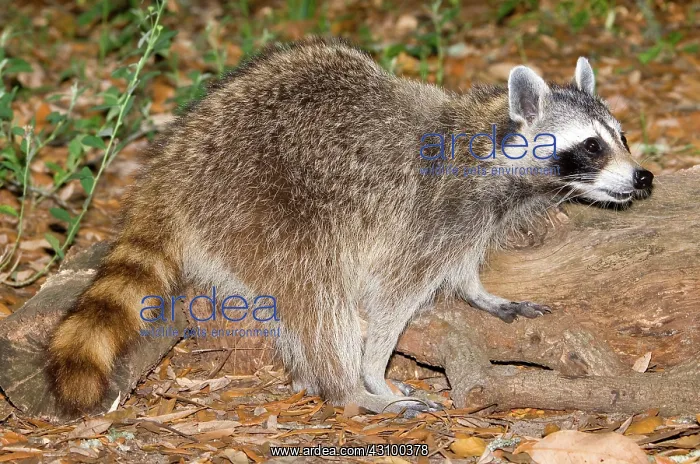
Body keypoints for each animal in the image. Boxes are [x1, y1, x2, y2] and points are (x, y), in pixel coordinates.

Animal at [48, 37, 653, 414]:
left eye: (621, 136)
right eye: (591, 146)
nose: (643, 177)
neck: (495, 153)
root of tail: (169, 170)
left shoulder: (471, 217)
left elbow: (460, 263)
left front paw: (478, 291)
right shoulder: (431, 211)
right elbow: (389, 299)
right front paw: (371, 372)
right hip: (260, 201)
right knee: (315, 291)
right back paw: (343, 388)